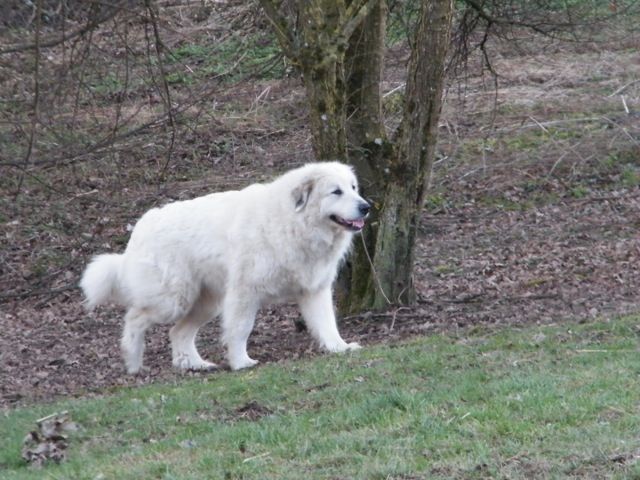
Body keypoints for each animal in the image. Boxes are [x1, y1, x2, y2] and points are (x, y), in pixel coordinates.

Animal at [80, 163, 370, 374]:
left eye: (353, 187)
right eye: (336, 192)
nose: (366, 207)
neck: (293, 221)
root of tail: (143, 223)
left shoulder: (314, 290)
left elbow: (327, 323)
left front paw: (339, 347)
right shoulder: (245, 292)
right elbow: (241, 329)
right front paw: (241, 362)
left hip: (206, 303)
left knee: (178, 332)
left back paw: (194, 364)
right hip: (173, 300)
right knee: (135, 318)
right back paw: (133, 361)